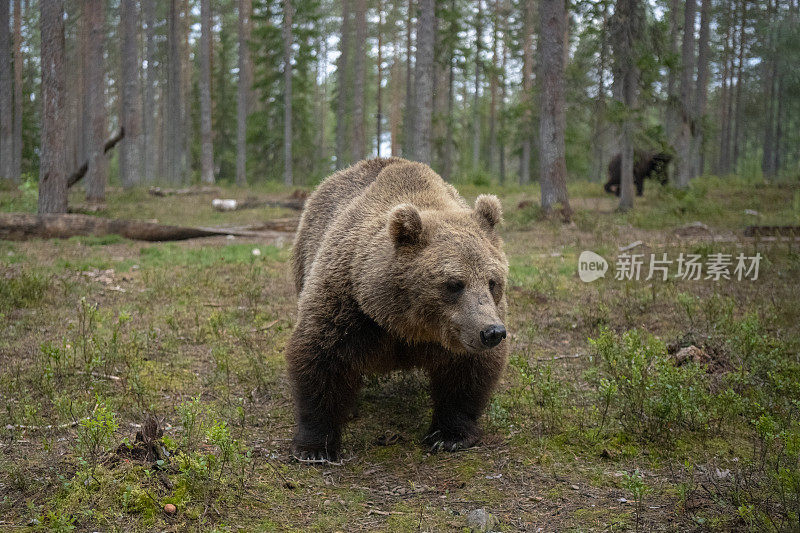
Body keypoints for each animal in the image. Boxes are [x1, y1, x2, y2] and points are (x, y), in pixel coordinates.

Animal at [288, 156, 510, 460]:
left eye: (492, 281)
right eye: (454, 283)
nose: (492, 332)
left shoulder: (461, 332)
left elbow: (468, 372)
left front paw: (450, 436)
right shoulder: (348, 304)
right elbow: (321, 356)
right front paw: (315, 447)